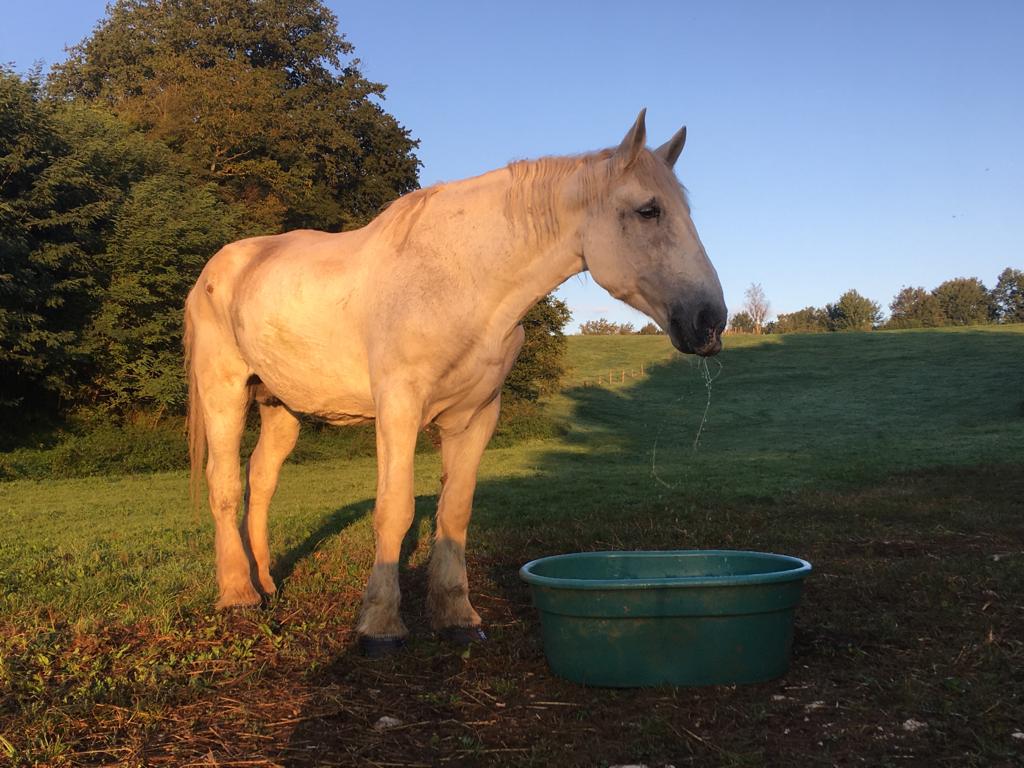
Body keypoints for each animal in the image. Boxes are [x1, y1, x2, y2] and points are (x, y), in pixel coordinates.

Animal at [184, 112, 729, 655]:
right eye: (649, 210)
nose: (710, 321)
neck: (463, 279)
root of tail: (215, 269)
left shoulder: (475, 416)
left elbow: (456, 514)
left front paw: (455, 617)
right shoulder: (399, 408)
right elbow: (395, 510)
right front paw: (380, 625)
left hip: (282, 407)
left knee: (261, 480)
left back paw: (265, 584)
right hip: (224, 391)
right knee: (225, 484)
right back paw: (237, 595)